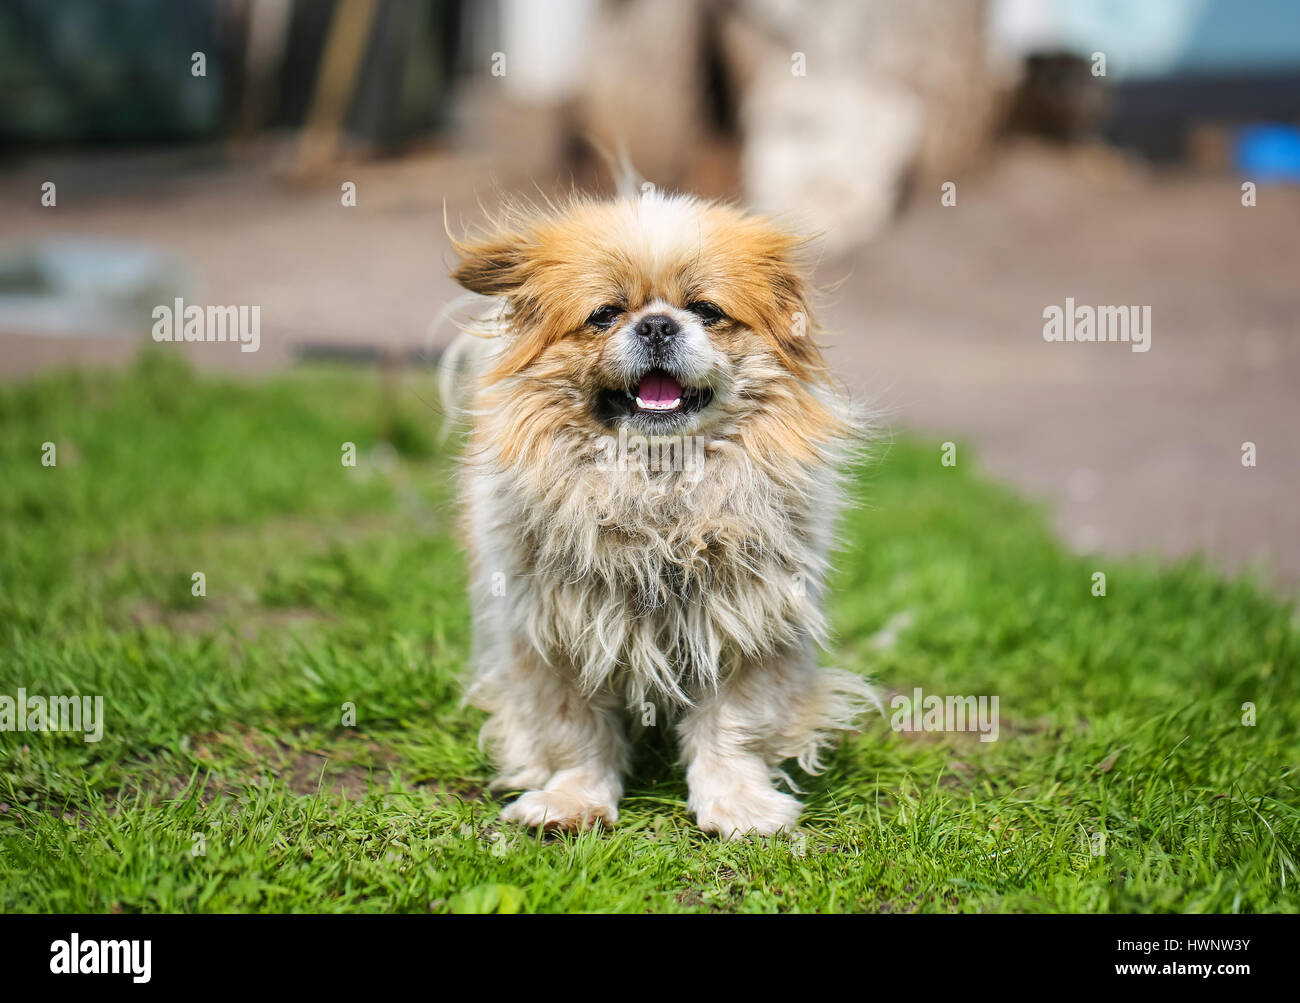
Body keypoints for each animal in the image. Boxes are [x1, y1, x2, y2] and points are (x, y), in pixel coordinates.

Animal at [436, 181, 873, 836]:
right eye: (605, 315)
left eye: (707, 311)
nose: (659, 325)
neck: (656, 487)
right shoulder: (555, 636)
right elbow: (574, 733)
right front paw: (572, 801)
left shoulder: (750, 630)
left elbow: (735, 730)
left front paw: (738, 806)